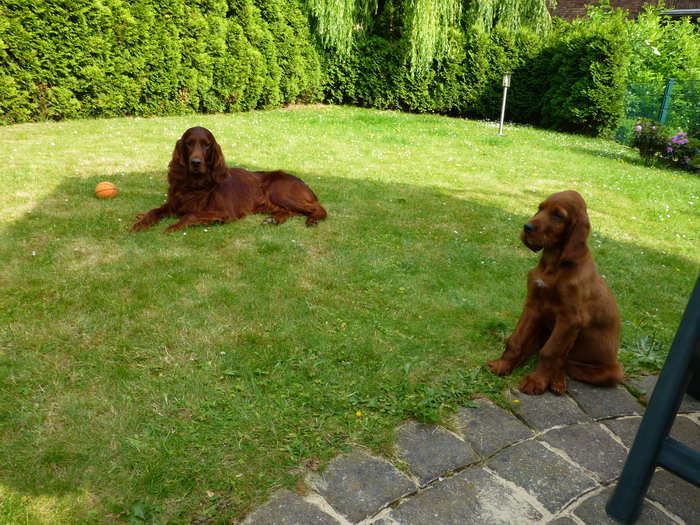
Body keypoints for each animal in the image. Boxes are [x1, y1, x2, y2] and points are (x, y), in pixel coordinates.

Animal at [131, 126, 326, 232]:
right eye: (188, 143)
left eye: (206, 144)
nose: (196, 162)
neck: (196, 185)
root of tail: (303, 183)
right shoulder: (174, 203)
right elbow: (154, 211)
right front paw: (140, 224)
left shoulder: (226, 212)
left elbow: (191, 214)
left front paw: (173, 227)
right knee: (291, 211)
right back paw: (272, 219)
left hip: (280, 192)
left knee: (318, 208)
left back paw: (312, 220)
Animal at [486, 190, 623, 395]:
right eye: (540, 208)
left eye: (558, 215)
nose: (526, 226)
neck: (553, 265)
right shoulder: (533, 306)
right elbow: (516, 340)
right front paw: (502, 365)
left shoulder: (570, 319)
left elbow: (550, 352)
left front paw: (536, 382)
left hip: (613, 372)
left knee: (564, 362)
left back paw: (557, 382)